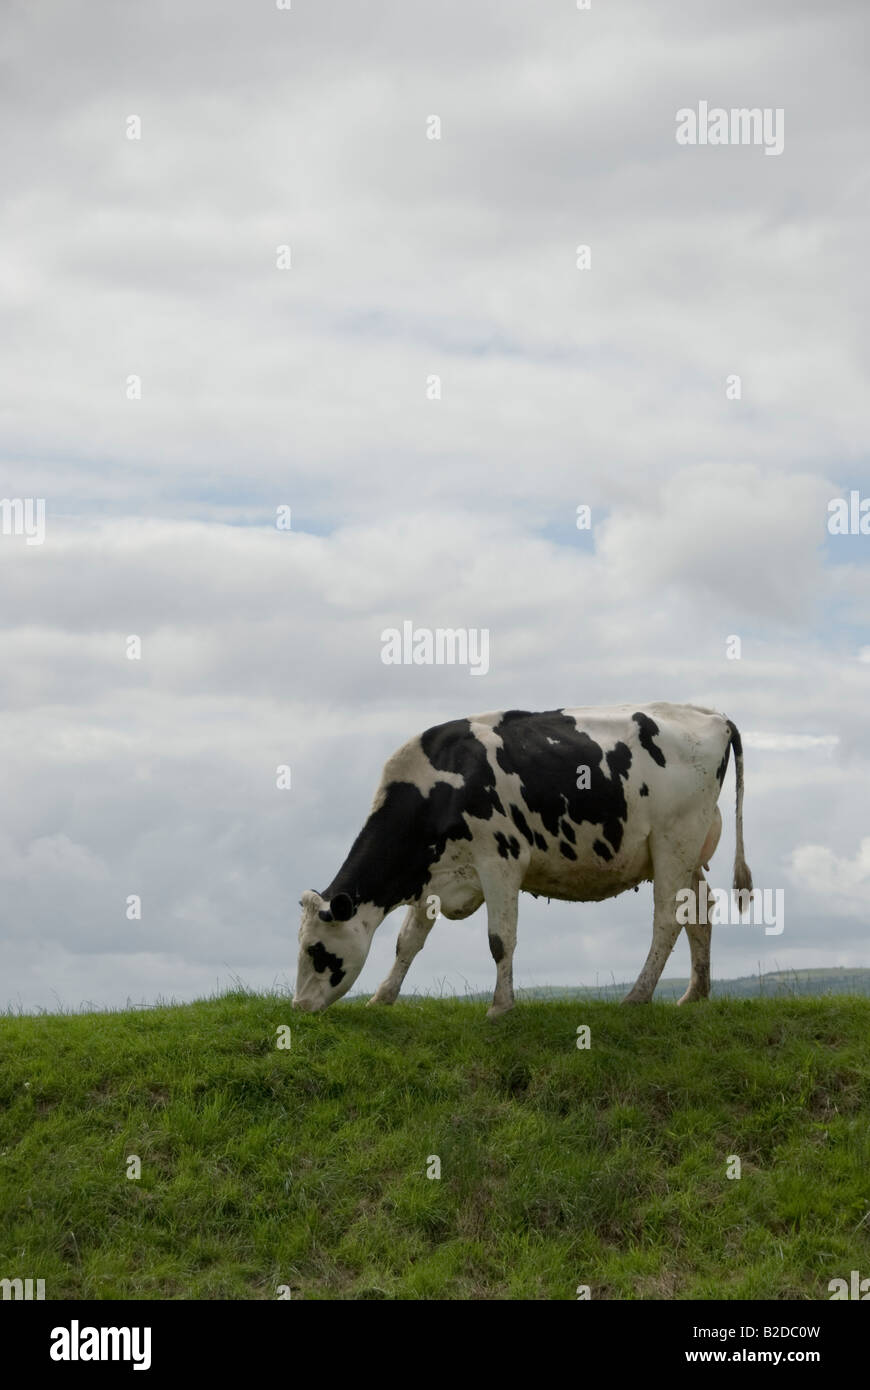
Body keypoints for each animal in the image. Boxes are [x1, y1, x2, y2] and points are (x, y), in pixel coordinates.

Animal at [292, 702, 751, 1016]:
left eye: (316, 950)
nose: (298, 1007)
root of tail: (711, 715)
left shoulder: (500, 862)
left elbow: (500, 940)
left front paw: (500, 1007)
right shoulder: (433, 878)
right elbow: (408, 943)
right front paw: (381, 998)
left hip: (673, 841)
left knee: (667, 920)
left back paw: (637, 997)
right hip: (688, 853)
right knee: (699, 913)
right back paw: (695, 995)